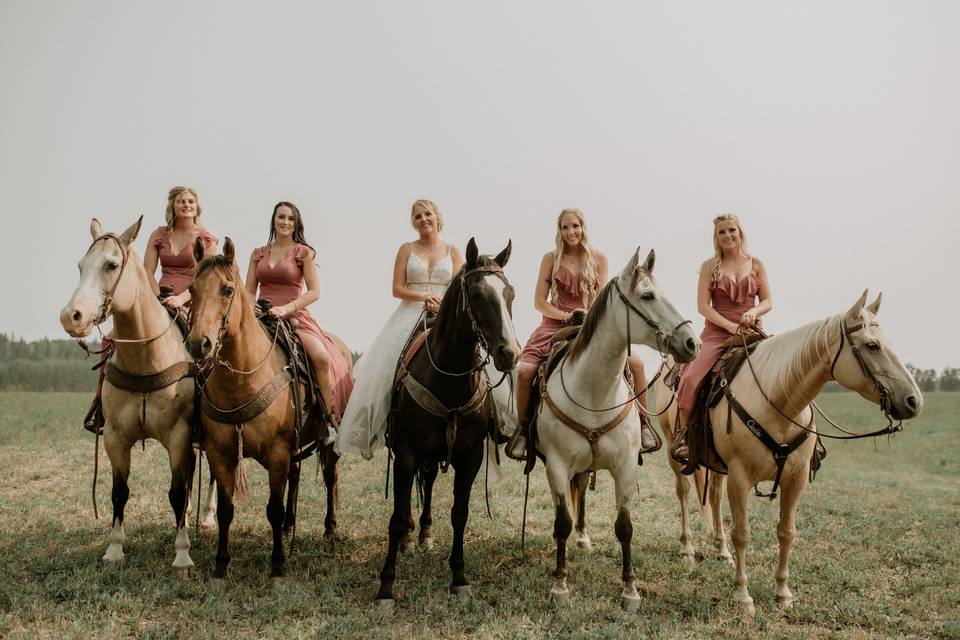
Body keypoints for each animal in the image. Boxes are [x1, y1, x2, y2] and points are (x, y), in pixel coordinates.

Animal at [57, 218, 199, 576]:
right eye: (80, 266)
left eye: (111, 265)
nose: (71, 316)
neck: (146, 359)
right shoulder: (116, 439)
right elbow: (119, 493)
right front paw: (114, 550)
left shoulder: (178, 437)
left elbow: (176, 493)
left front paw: (182, 555)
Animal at [182, 239, 350, 580]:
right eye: (192, 289)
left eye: (227, 289)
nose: (198, 344)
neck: (243, 379)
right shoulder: (221, 453)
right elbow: (226, 510)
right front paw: (221, 564)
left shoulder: (276, 453)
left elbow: (273, 508)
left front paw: (278, 564)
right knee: (296, 478)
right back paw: (289, 527)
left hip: (327, 442)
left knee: (331, 477)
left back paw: (329, 528)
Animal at [374, 238, 520, 608]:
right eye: (478, 295)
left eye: (510, 293)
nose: (509, 353)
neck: (449, 381)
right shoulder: (406, 453)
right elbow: (397, 518)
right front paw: (386, 586)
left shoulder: (470, 457)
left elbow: (460, 513)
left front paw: (459, 578)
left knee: (427, 486)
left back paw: (425, 533)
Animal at [532, 249, 696, 608]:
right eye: (647, 296)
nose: (693, 342)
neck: (593, 391)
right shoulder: (556, 463)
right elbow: (561, 522)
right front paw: (560, 585)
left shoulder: (625, 467)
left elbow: (624, 527)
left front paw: (630, 590)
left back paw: (583, 538)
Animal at [652, 292, 924, 616]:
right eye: (873, 345)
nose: (914, 401)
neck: (778, 397)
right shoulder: (740, 478)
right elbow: (742, 533)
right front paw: (743, 595)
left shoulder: (796, 478)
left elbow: (787, 532)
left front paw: (782, 593)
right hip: (675, 451)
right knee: (682, 492)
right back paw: (687, 548)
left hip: (716, 464)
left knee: (714, 498)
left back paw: (722, 551)